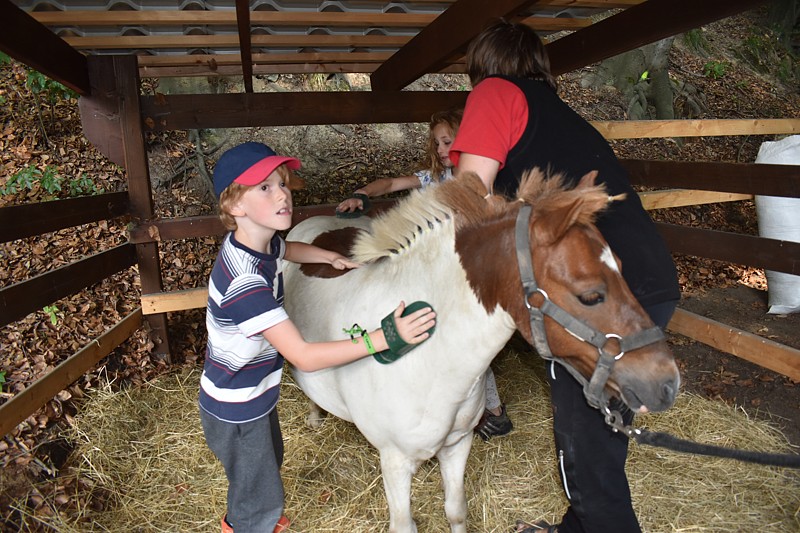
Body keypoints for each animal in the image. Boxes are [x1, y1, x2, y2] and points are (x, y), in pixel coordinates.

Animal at [284, 170, 680, 532]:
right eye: (591, 295)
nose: (667, 382)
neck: (428, 364)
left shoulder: (458, 445)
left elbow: (456, 511)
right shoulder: (394, 462)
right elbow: (404, 525)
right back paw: (315, 416)